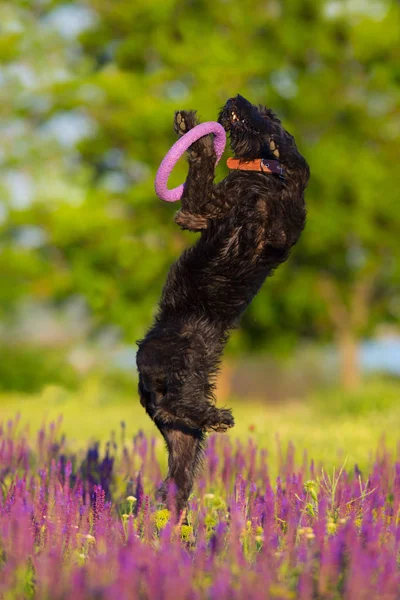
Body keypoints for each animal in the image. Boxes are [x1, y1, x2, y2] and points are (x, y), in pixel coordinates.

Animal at [137, 94, 310, 516]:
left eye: (267, 113)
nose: (236, 98)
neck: (261, 175)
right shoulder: (198, 212)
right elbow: (204, 178)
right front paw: (189, 126)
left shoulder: (217, 211)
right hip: (182, 374)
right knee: (180, 409)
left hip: (183, 409)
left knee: (179, 454)